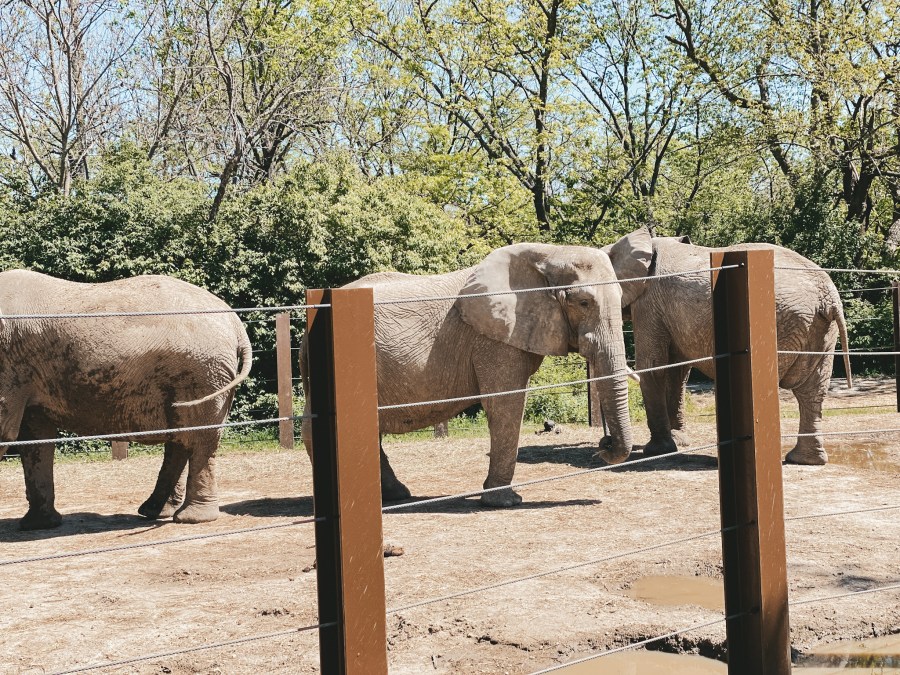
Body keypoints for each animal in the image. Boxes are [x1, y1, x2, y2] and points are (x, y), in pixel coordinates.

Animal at [0, 272, 253, 532]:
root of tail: (235, 323)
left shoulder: (10, 364)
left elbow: (7, 432)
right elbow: (34, 439)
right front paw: (37, 525)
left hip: (202, 371)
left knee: (200, 437)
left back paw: (190, 518)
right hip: (203, 373)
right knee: (183, 437)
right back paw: (154, 511)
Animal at [298, 238, 652, 508]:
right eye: (583, 303)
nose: (603, 443)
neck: (550, 254)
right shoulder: (493, 339)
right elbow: (505, 404)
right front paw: (505, 502)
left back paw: (397, 497)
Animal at [604, 230, 852, 468]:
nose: (605, 443)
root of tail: (828, 294)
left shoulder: (648, 304)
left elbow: (653, 366)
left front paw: (656, 450)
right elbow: (677, 371)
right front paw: (679, 441)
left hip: (780, 323)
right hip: (820, 331)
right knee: (812, 391)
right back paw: (804, 460)